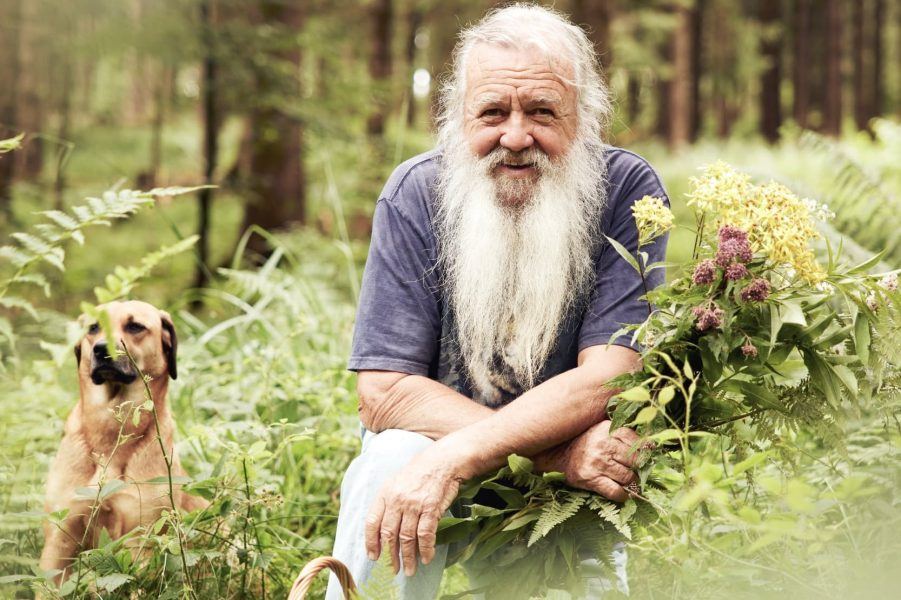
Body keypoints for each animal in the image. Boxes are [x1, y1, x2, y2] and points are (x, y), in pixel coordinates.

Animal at [39, 302, 205, 580]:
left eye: (135, 326)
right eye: (93, 327)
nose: (101, 349)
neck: (110, 438)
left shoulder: (141, 537)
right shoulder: (59, 537)